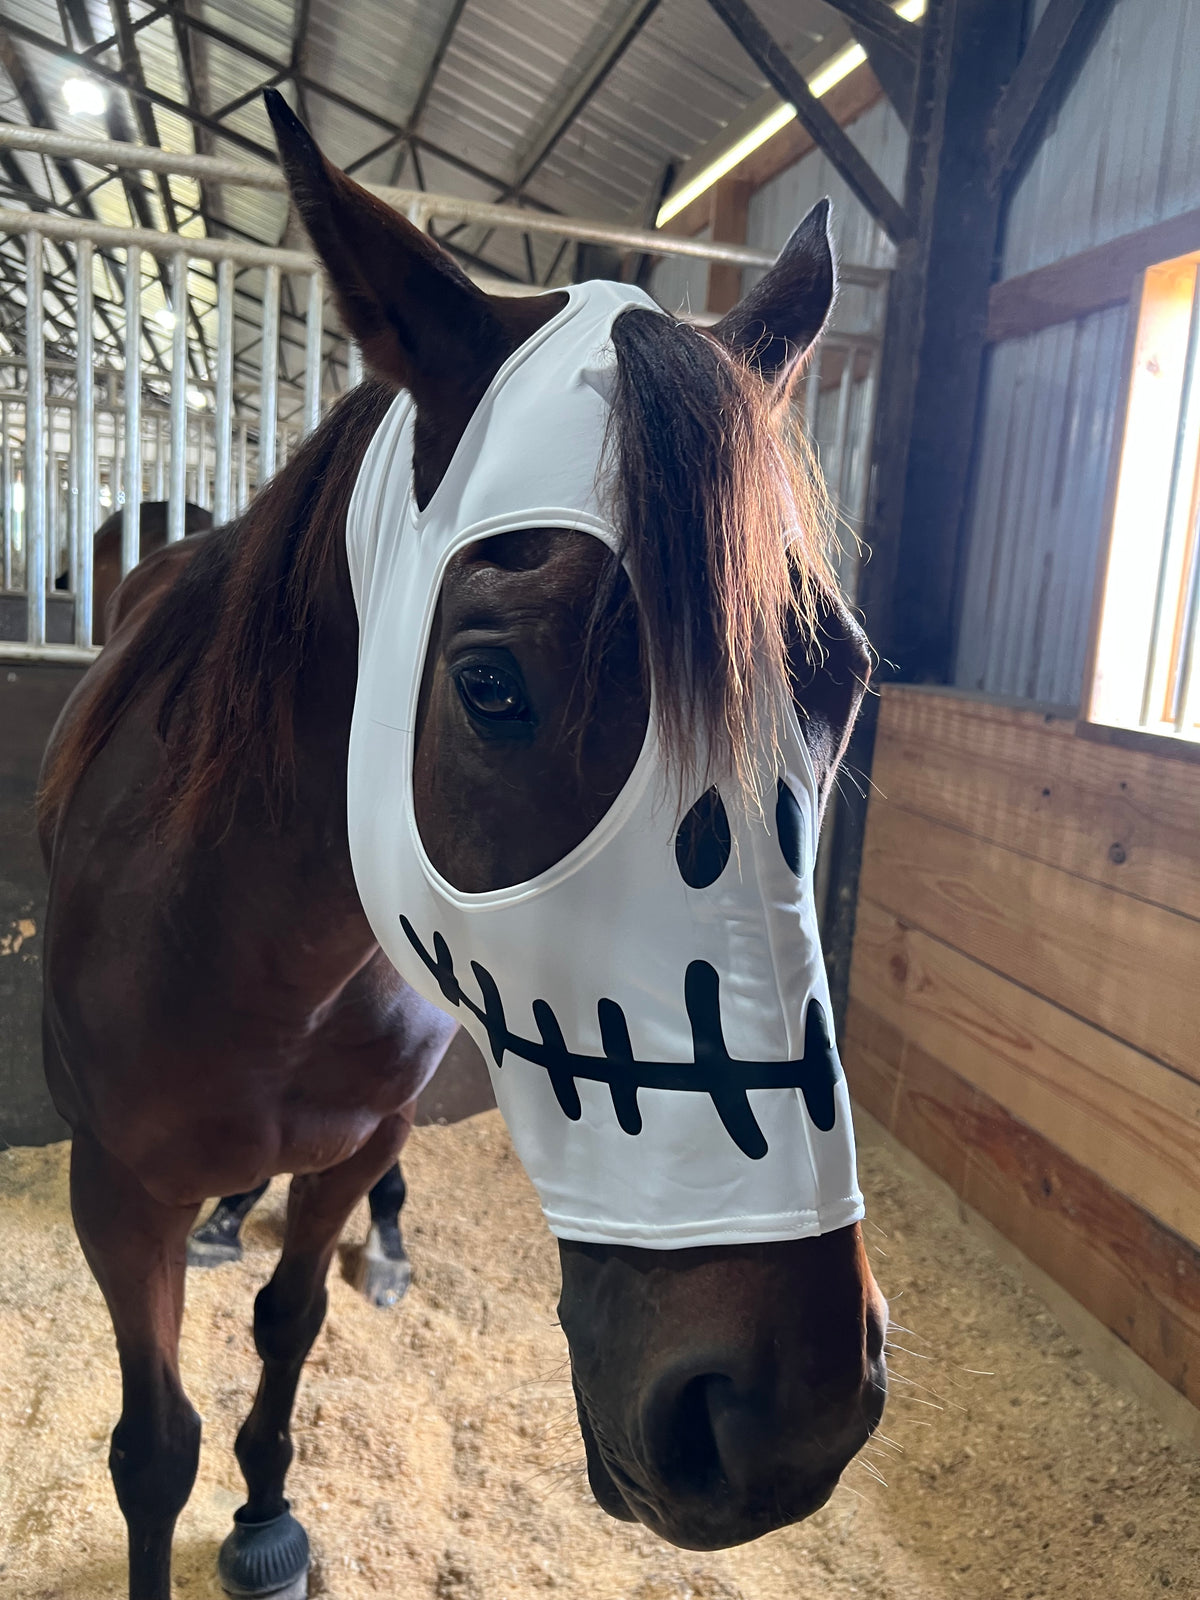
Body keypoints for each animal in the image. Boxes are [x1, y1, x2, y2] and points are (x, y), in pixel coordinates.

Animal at [37, 90, 886, 1600]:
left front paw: (268, 1514)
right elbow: (152, 1445)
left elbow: (289, 1327)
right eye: (490, 684)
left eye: (836, 679)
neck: (261, 951)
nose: (784, 1415)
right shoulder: (114, 1190)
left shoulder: (345, 1142)